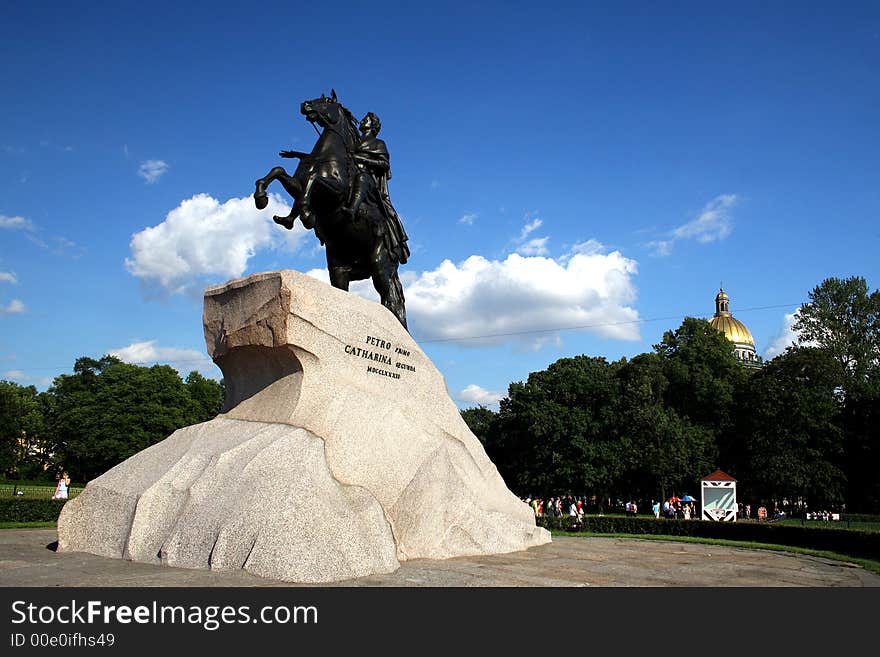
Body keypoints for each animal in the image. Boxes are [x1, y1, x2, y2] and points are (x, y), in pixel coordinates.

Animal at [251, 91, 410, 328]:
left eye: (326, 101)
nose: (305, 105)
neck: (326, 155)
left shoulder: (336, 193)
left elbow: (315, 180)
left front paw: (307, 214)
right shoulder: (296, 184)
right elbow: (278, 171)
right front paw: (262, 198)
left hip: (380, 264)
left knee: (391, 300)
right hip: (339, 267)